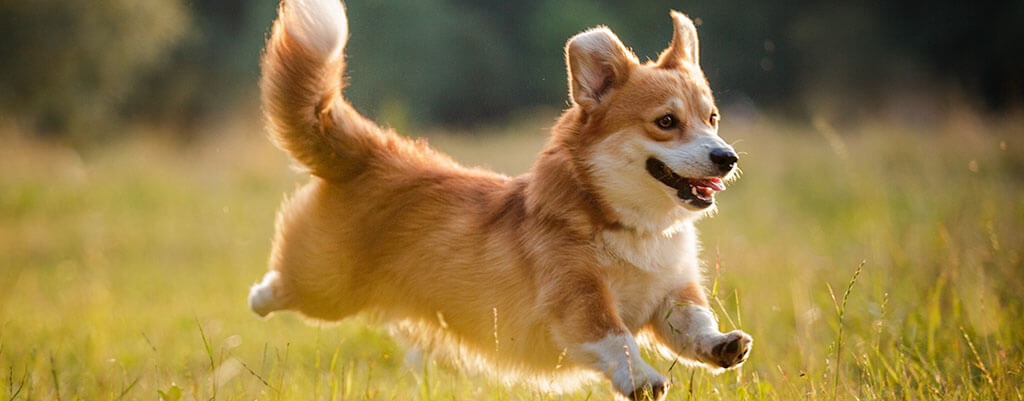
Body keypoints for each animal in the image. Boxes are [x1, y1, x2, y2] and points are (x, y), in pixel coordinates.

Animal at [249, 1, 753, 398]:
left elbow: (693, 326)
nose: (726, 157)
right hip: (326, 287)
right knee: (280, 287)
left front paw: (722, 345)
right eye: (666, 122)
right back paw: (259, 297)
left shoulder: (672, 294)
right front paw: (643, 380)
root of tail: (374, 152)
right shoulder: (578, 300)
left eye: (712, 118)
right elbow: (617, 341)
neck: (631, 226)